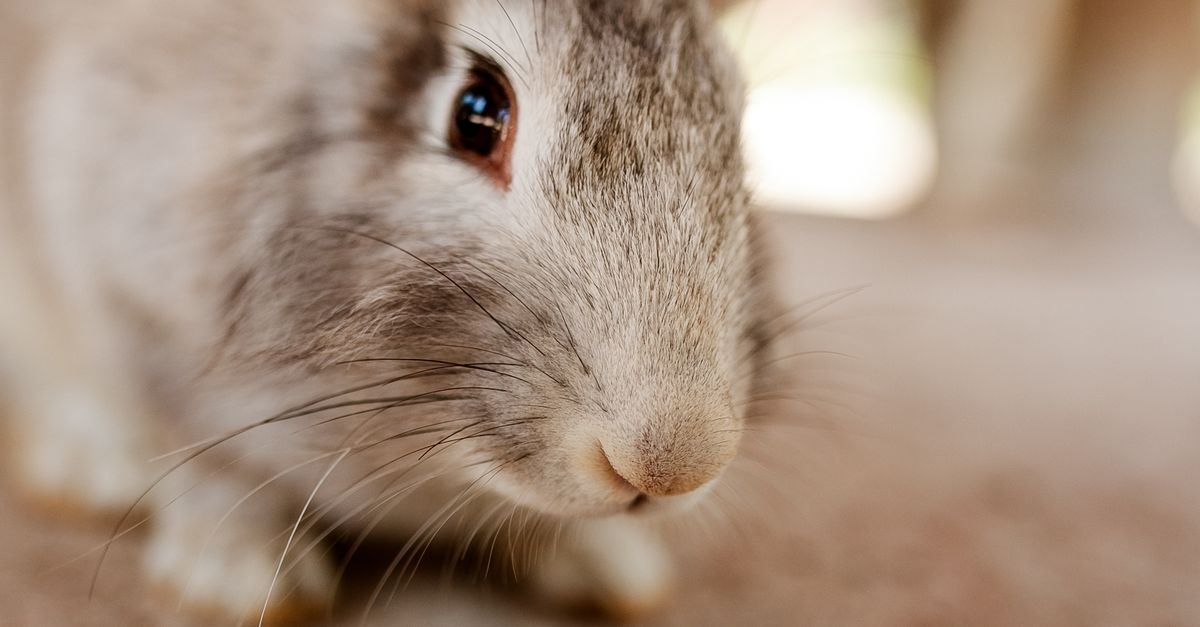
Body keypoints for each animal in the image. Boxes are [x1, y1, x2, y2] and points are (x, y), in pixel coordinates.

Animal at [0, 0, 774, 622]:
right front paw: (240, 581)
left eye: (733, 125)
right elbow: (205, 456)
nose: (671, 467)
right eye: (477, 112)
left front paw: (607, 565)